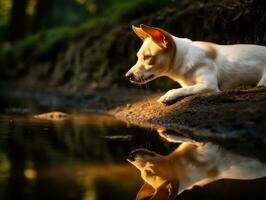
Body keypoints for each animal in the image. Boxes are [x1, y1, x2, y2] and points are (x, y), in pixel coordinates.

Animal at [124, 24, 266, 104]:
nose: (127, 76)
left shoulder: (209, 85)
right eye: (138, 57)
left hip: (262, 81)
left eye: (147, 57)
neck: (184, 58)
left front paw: (168, 95)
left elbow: (180, 89)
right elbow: (185, 87)